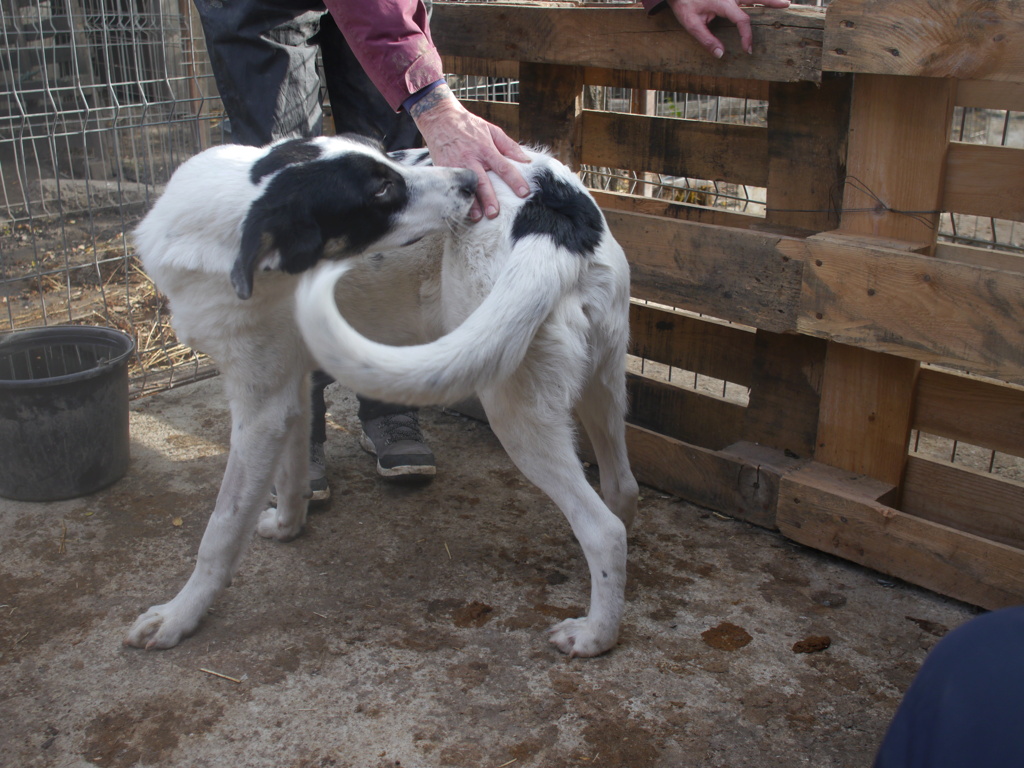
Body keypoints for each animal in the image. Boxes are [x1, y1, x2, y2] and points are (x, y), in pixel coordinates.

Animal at [126, 135, 634, 659]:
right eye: (381, 188)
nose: (470, 180)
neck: (218, 225)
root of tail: (558, 208)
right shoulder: (289, 393)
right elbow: (291, 476)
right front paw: (288, 527)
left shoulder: (259, 409)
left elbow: (221, 529)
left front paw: (178, 616)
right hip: (602, 383)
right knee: (622, 488)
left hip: (514, 408)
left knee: (604, 531)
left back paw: (596, 634)